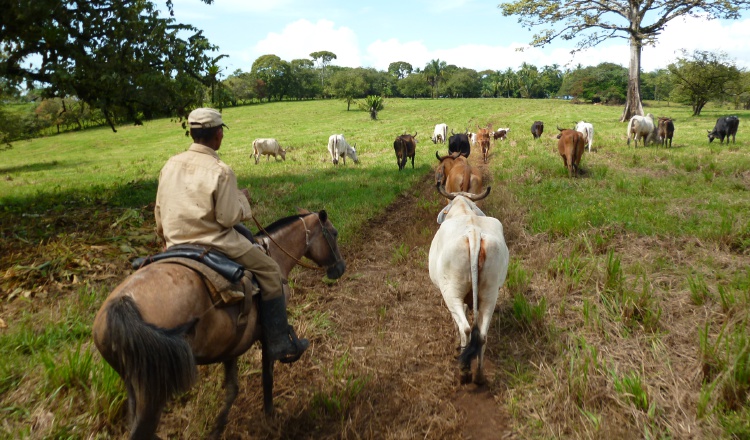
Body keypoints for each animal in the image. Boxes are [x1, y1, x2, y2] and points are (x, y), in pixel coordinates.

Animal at [92, 210, 346, 440]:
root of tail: (123, 303)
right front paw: (270, 417)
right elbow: (267, 377)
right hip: (153, 392)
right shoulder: (267, 337)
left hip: (133, 383)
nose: (340, 268)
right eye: (333, 233)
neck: (273, 254)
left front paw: (218, 429)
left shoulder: (231, 345)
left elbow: (232, 389)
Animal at [428, 184, 512, 384]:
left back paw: (464, 371)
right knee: (481, 335)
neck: (464, 211)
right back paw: (479, 375)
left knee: (465, 328)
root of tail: (474, 234)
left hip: (451, 293)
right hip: (490, 294)